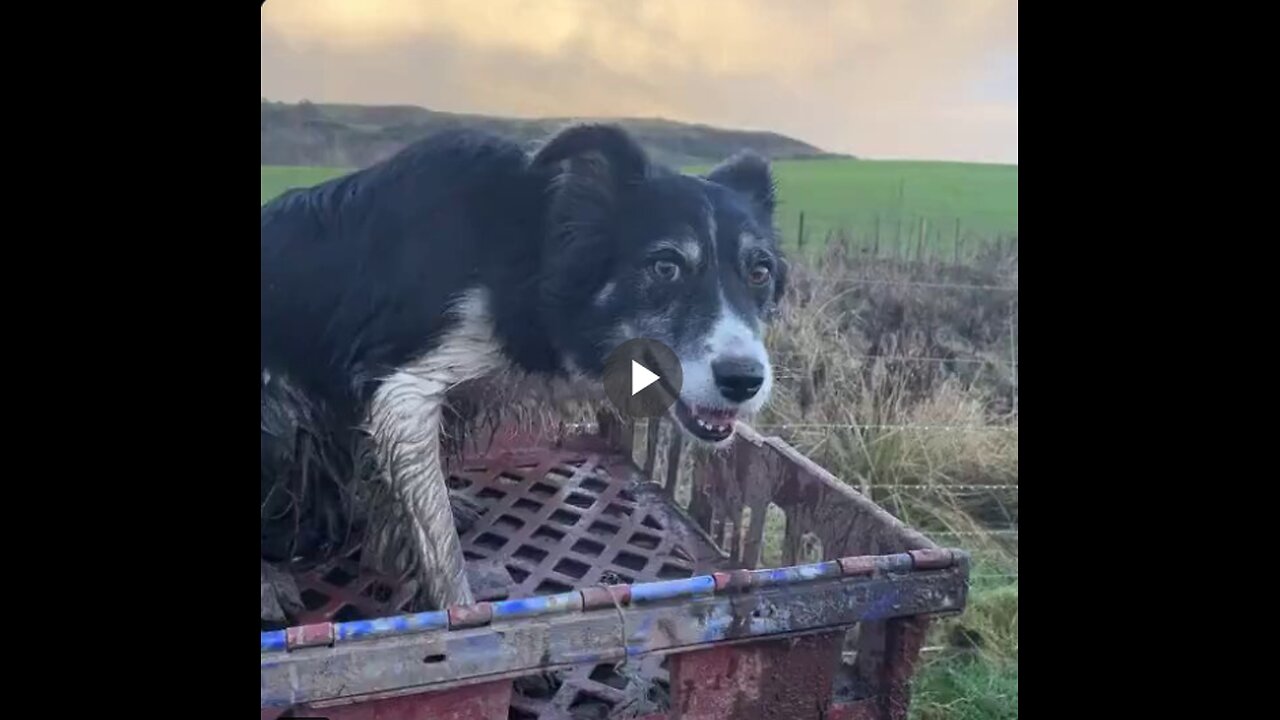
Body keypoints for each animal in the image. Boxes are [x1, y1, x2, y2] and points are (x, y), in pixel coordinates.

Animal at [258, 122, 783, 617]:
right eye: (665, 267)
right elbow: (441, 547)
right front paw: (460, 613)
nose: (744, 380)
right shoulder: (402, 390)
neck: (531, 251)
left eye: (760, 272)